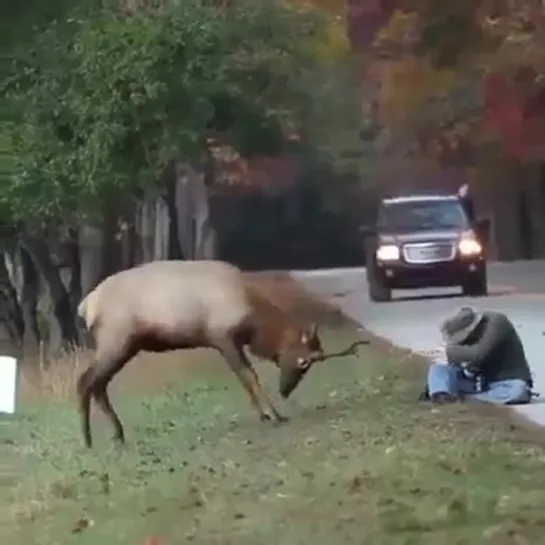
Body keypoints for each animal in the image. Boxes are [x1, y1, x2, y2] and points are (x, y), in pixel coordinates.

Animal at [75, 260, 326, 446]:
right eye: (303, 361)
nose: (285, 390)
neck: (254, 324)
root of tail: (85, 306)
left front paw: (266, 414)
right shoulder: (223, 338)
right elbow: (249, 377)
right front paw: (272, 415)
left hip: (125, 347)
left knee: (99, 385)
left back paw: (117, 433)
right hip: (115, 341)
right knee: (85, 381)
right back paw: (88, 440)